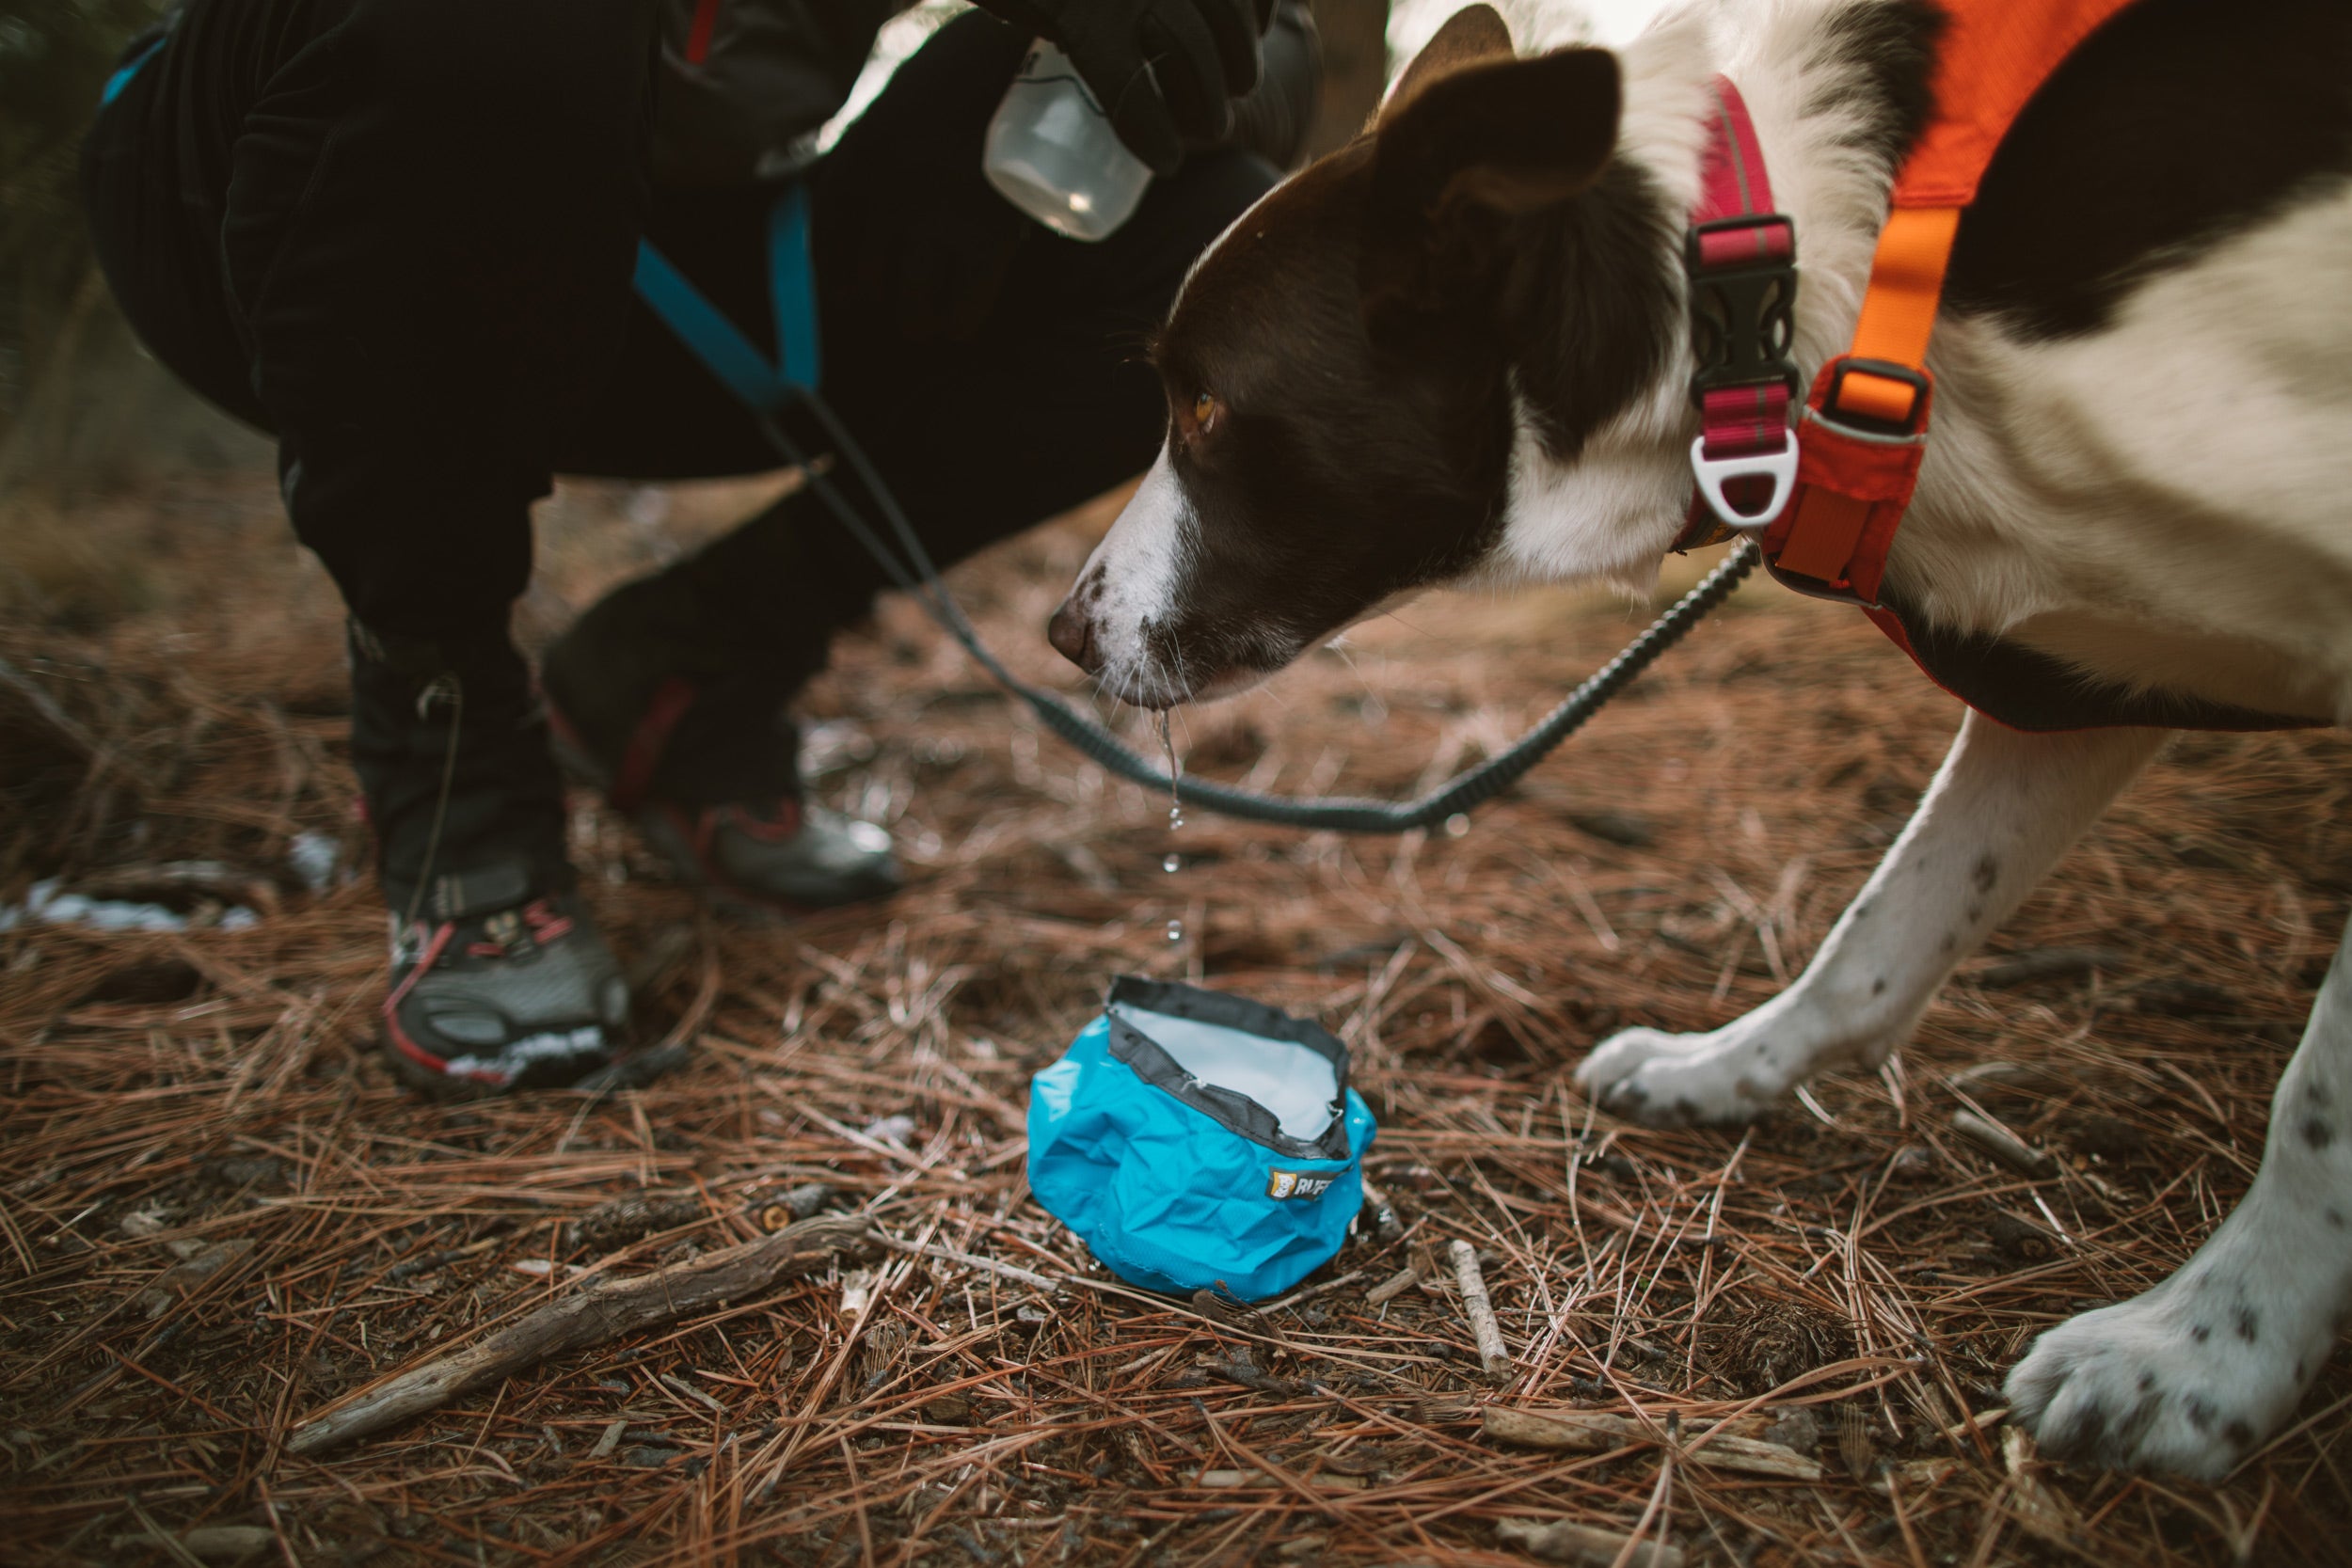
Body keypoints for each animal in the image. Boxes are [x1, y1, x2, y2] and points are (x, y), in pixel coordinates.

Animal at [1049, 0, 2352, 1476]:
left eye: (1207, 412)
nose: (1063, 630)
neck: (1795, 295)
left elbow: (2321, 1107)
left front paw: (2205, 1355)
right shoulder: (2071, 668)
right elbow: (1880, 934)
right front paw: (1724, 1071)